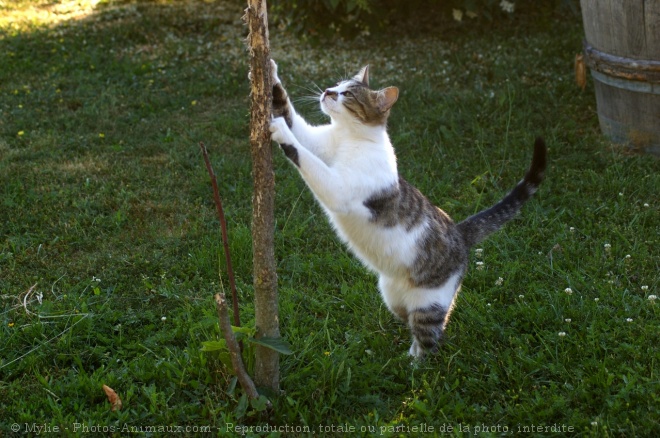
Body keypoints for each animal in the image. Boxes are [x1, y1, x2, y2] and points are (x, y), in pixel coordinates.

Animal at [268, 60, 548, 356]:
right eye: (336, 85)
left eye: (348, 94)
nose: (327, 91)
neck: (349, 138)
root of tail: (460, 233)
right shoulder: (318, 142)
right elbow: (290, 115)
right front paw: (270, 72)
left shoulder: (339, 190)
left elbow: (303, 154)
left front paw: (282, 133)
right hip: (392, 297)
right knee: (410, 323)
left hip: (429, 305)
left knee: (431, 340)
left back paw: (413, 365)